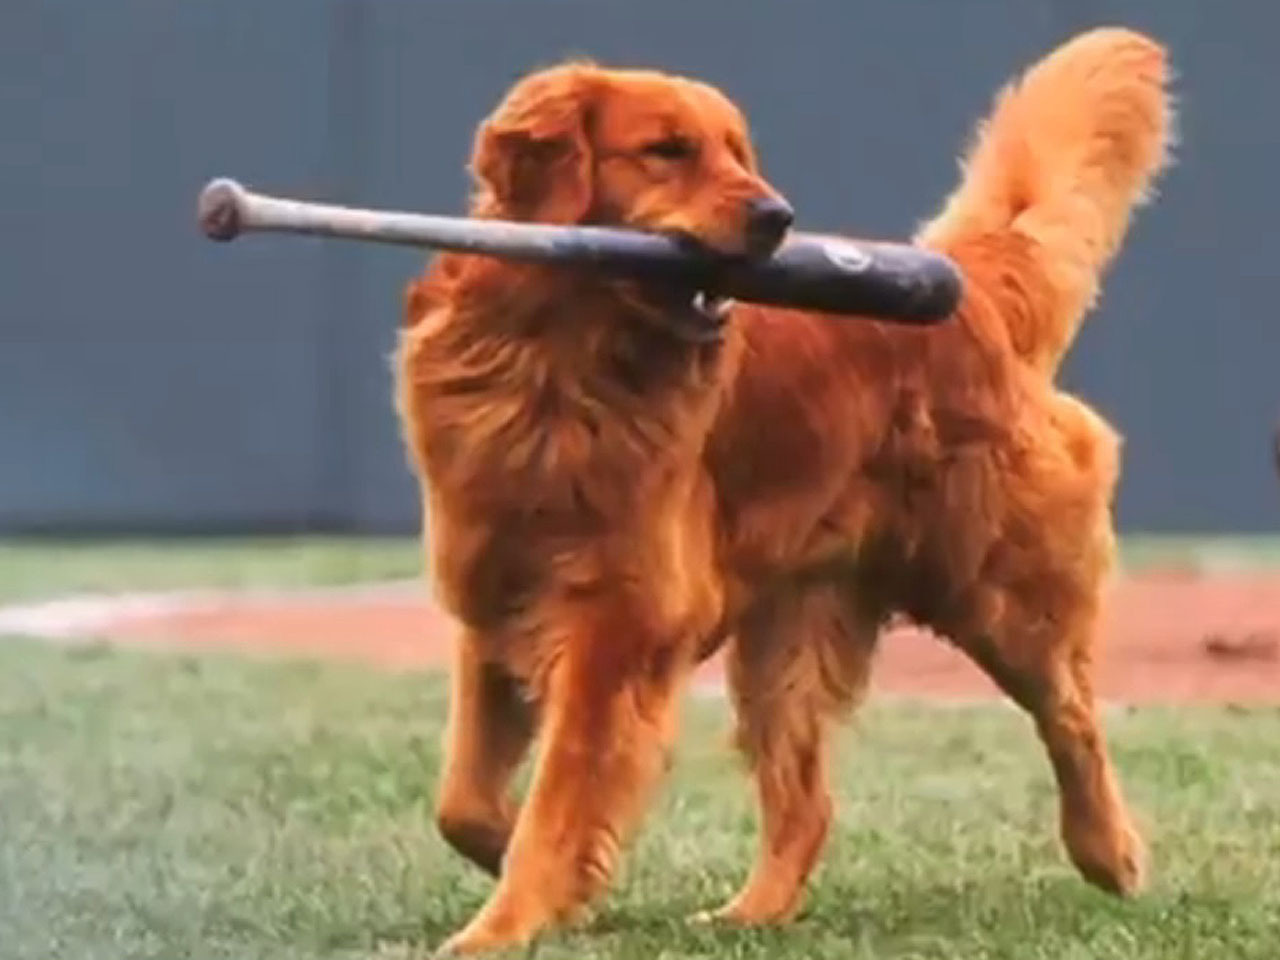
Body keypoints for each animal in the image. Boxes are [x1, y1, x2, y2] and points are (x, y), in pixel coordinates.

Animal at [396, 28, 1172, 957]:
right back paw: (749, 913)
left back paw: (1110, 853)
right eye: (668, 151)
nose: (779, 217)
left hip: (997, 592)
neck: (561, 369)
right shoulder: (497, 602)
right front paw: (555, 884)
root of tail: (965, 288)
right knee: (807, 805)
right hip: (786, 637)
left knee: (1072, 717)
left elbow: (559, 796)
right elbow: (463, 801)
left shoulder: (618, 623)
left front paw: (508, 921)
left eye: (739, 152)